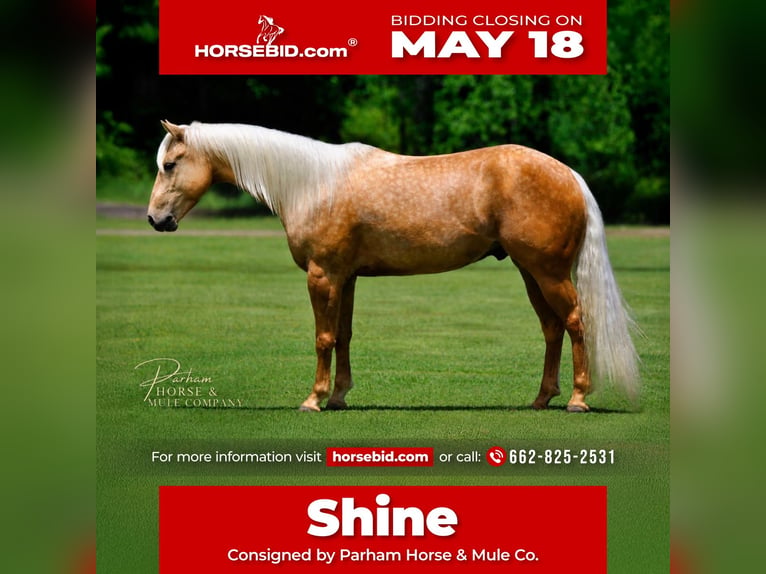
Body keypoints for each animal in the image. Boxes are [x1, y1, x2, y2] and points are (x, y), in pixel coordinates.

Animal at [148, 120, 639, 413]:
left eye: (170, 164)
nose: (155, 220)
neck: (313, 183)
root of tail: (569, 174)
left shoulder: (322, 275)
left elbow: (322, 338)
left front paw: (314, 399)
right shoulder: (344, 277)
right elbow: (343, 335)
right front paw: (339, 396)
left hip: (548, 272)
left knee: (575, 322)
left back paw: (577, 398)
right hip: (530, 271)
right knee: (552, 328)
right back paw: (541, 399)